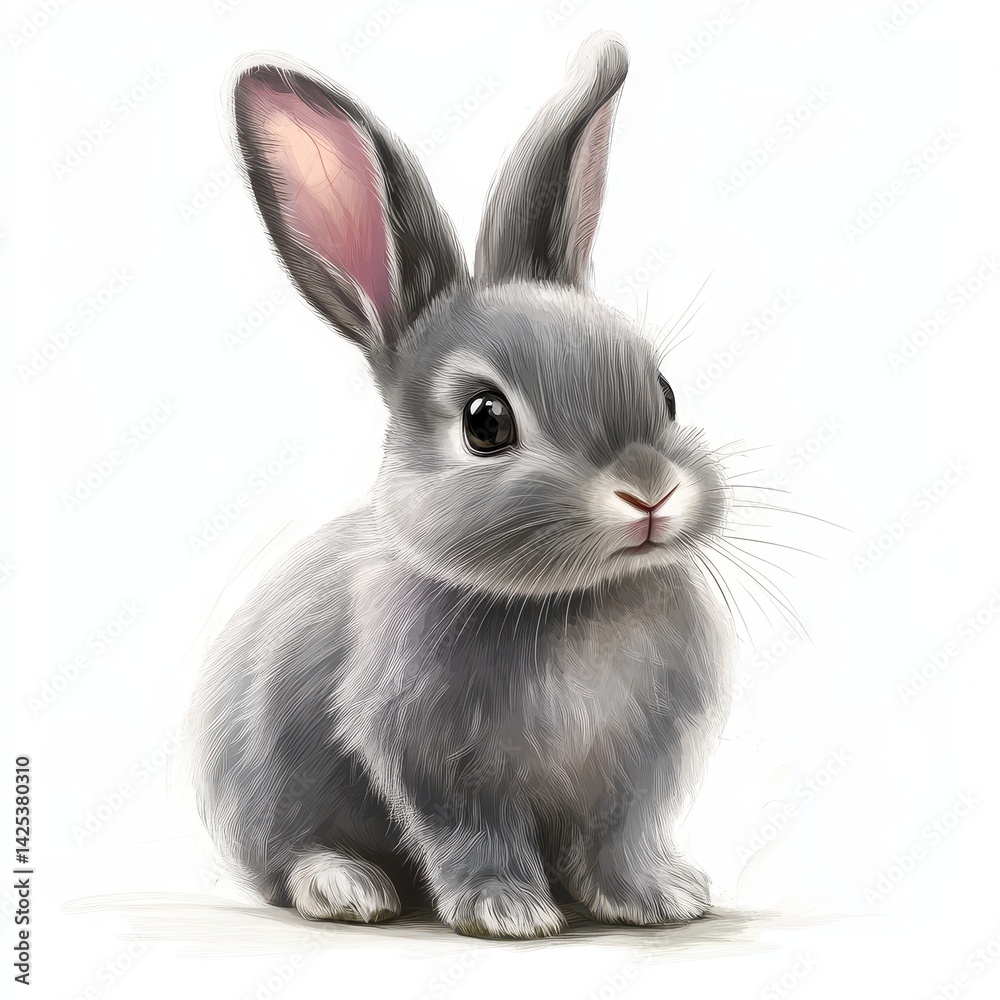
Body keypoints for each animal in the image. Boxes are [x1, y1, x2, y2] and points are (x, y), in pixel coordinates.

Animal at [186, 31, 735, 940]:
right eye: (485, 421)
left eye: (664, 393)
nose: (649, 493)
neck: (569, 600)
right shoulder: (433, 756)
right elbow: (473, 832)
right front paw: (506, 909)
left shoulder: (635, 769)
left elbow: (620, 835)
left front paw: (659, 897)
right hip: (267, 784)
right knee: (288, 858)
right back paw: (346, 886)